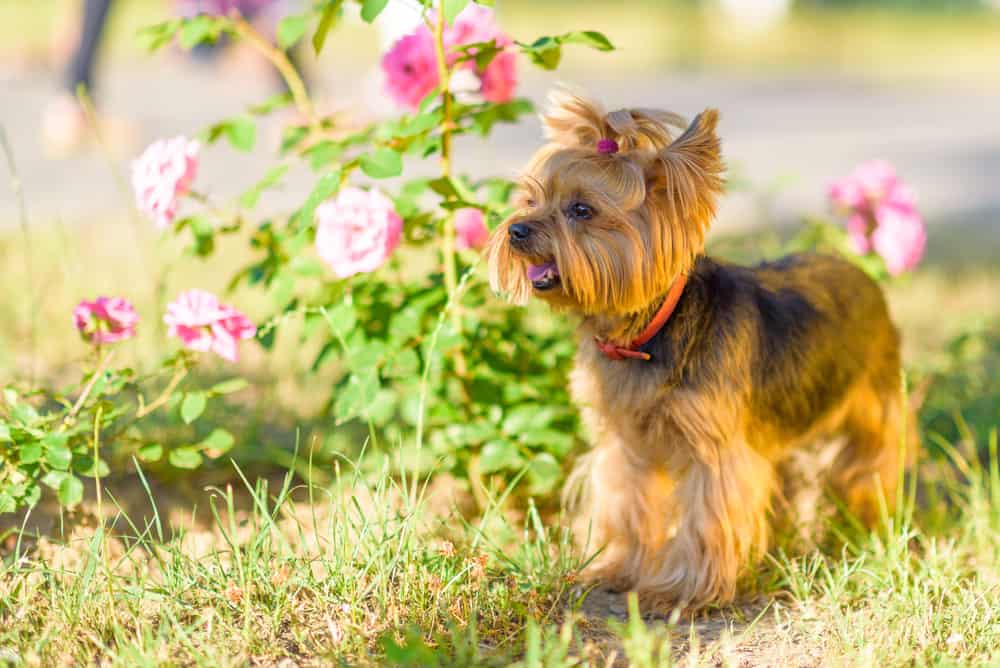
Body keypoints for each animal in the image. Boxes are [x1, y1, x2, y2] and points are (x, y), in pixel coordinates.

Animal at [484, 92, 916, 612]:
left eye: (582, 210)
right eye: (531, 199)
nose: (517, 230)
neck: (646, 332)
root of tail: (857, 269)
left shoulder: (713, 451)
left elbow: (704, 521)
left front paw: (681, 592)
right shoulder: (624, 442)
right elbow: (626, 504)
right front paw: (616, 568)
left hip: (873, 407)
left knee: (868, 466)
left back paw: (868, 528)